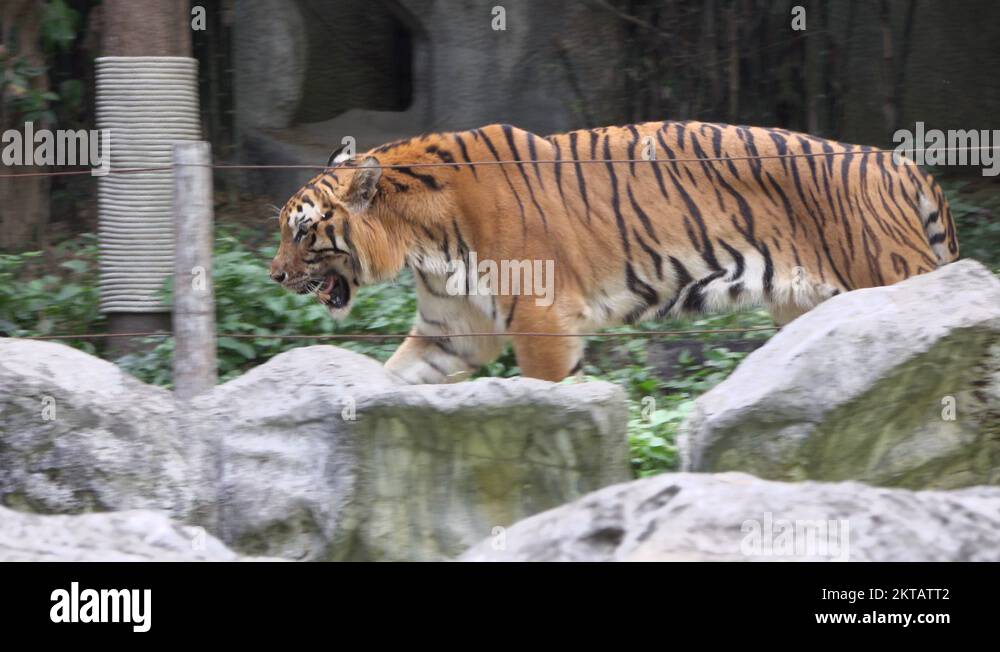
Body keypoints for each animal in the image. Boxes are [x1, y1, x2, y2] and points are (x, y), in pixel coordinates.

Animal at [269, 121, 959, 384]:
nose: (275, 275)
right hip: (808, 308)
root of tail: (902, 164)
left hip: (891, 278)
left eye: (302, 232)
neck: (422, 242)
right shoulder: (453, 332)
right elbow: (395, 378)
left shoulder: (542, 321)